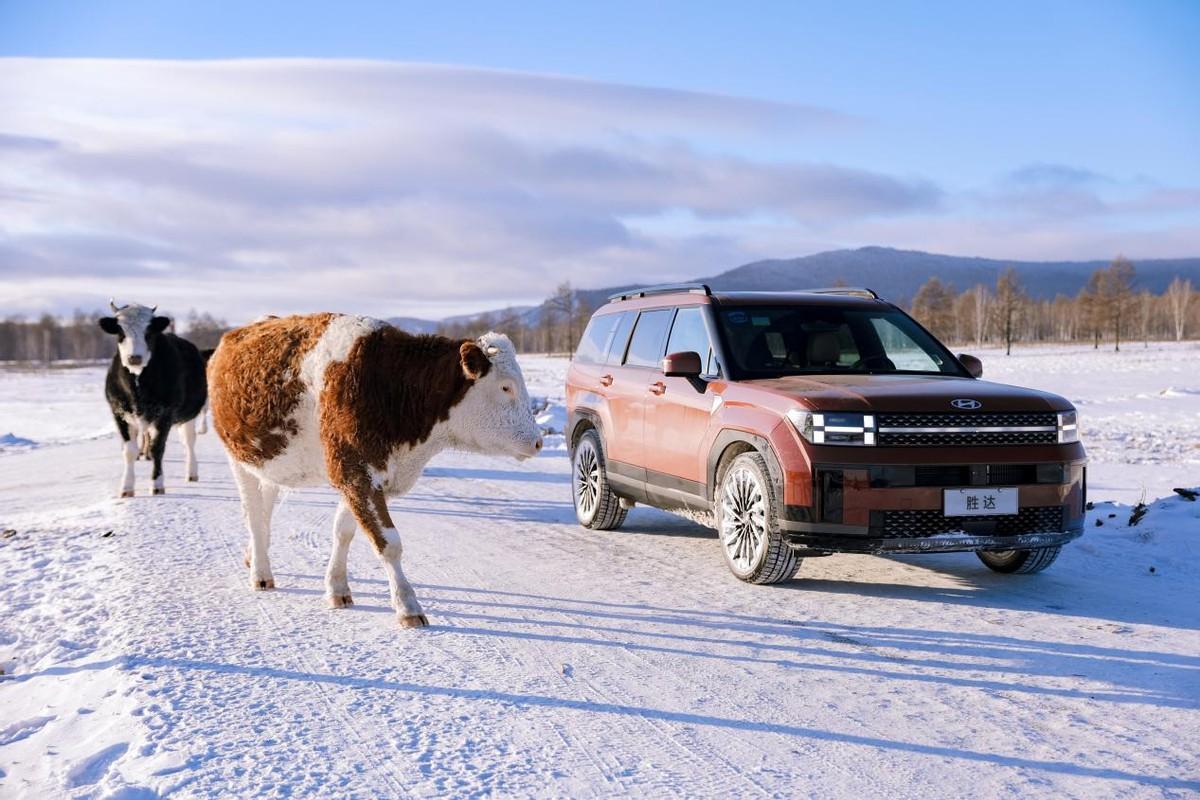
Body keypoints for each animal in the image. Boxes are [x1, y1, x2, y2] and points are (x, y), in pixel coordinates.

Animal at [100, 303, 211, 496]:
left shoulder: (165, 414)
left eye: (149, 332)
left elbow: (157, 448)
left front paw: (157, 484)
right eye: (120, 332)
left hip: (188, 415)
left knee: (189, 441)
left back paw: (191, 472)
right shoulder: (119, 413)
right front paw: (127, 487)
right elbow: (129, 451)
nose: (134, 358)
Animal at [208, 316, 542, 628]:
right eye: (506, 386)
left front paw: (337, 587)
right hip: (238, 459)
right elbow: (389, 543)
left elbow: (343, 531)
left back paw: (253, 555)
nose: (538, 441)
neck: (392, 385)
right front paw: (407, 605)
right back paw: (260, 573)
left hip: (269, 464)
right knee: (254, 516)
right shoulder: (355, 472)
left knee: (264, 512)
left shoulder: (367, 476)